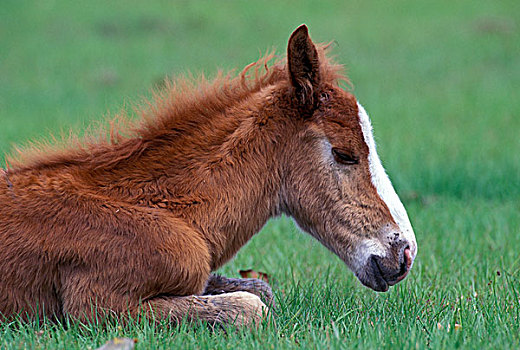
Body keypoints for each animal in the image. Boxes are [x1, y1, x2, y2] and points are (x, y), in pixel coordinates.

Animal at [0, 26, 416, 326]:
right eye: (345, 154)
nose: (405, 253)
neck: (164, 209)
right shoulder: (95, 304)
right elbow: (251, 306)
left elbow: (258, 288)